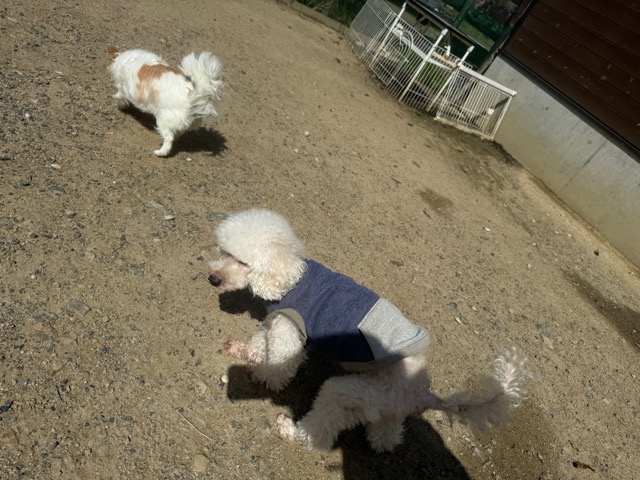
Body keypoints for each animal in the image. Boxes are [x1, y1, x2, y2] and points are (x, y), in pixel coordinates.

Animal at [208, 208, 530, 452]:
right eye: (223, 250)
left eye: (242, 262)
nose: (212, 279)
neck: (292, 277)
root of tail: (422, 394)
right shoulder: (279, 322)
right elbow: (259, 341)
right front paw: (244, 352)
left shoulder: (291, 332)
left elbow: (276, 364)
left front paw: (260, 375)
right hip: (384, 407)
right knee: (387, 435)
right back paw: (380, 440)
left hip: (350, 392)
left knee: (320, 432)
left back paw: (290, 430)